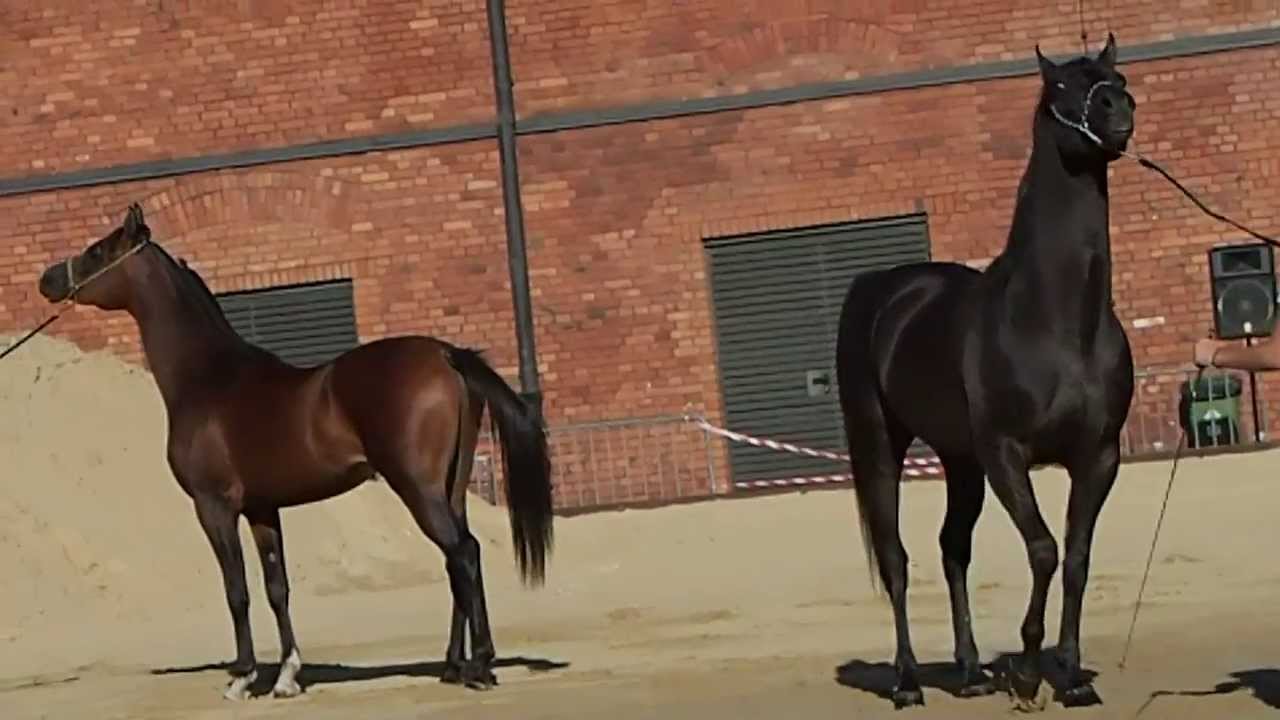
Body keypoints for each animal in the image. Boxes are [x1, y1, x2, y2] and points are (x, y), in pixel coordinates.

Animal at [36, 203, 555, 700]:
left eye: (99, 251)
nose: (48, 279)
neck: (207, 379)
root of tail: (447, 354)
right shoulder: (263, 510)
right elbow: (277, 588)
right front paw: (287, 675)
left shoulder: (215, 507)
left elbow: (237, 591)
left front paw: (243, 677)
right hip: (453, 488)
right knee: (458, 560)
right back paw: (454, 666)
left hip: (418, 488)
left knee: (462, 553)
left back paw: (479, 666)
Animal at [834, 34, 1135, 711]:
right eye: (1060, 88)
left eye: (1119, 78)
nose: (1119, 112)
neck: (1056, 323)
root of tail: (880, 287)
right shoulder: (1005, 453)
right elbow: (1043, 549)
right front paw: (1026, 676)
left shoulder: (1098, 456)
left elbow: (1076, 557)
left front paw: (1071, 678)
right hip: (882, 444)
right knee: (896, 558)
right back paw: (908, 682)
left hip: (960, 460)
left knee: (953, 549)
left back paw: (970, 672)